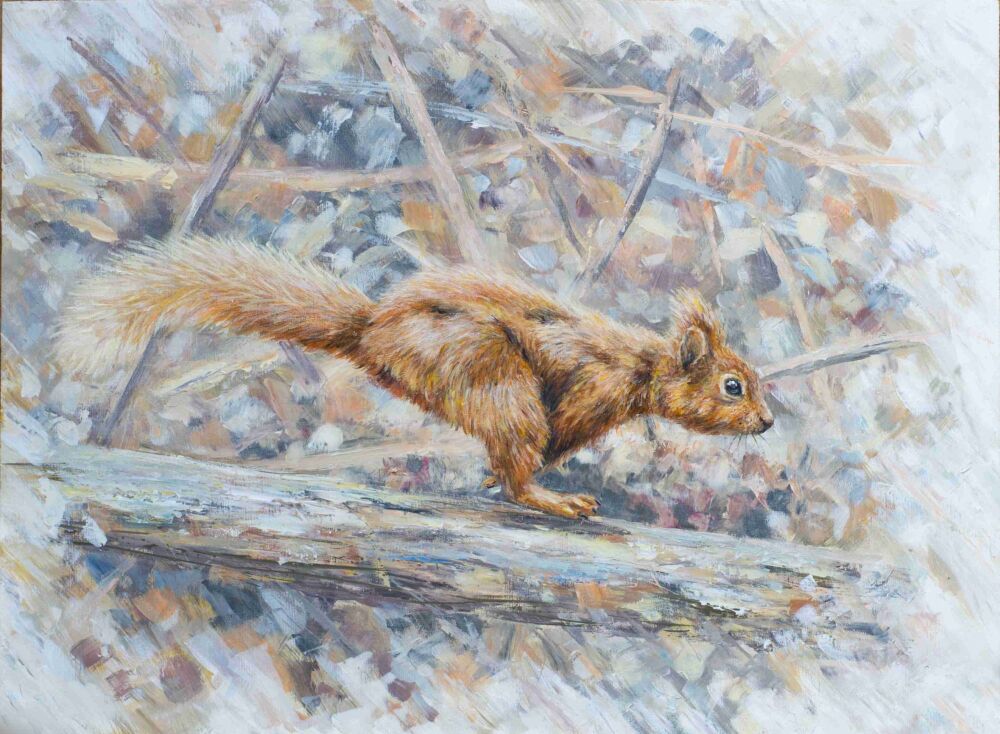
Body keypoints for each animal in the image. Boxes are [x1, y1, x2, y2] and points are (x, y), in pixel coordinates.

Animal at [59, 236, 773, 518]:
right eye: (733, 386)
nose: (768, 422)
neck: (641, 365)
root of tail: (375, 333)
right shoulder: (591, 389)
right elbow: (557, 432)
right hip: (493, 373)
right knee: (519, 456)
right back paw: (552, 498)